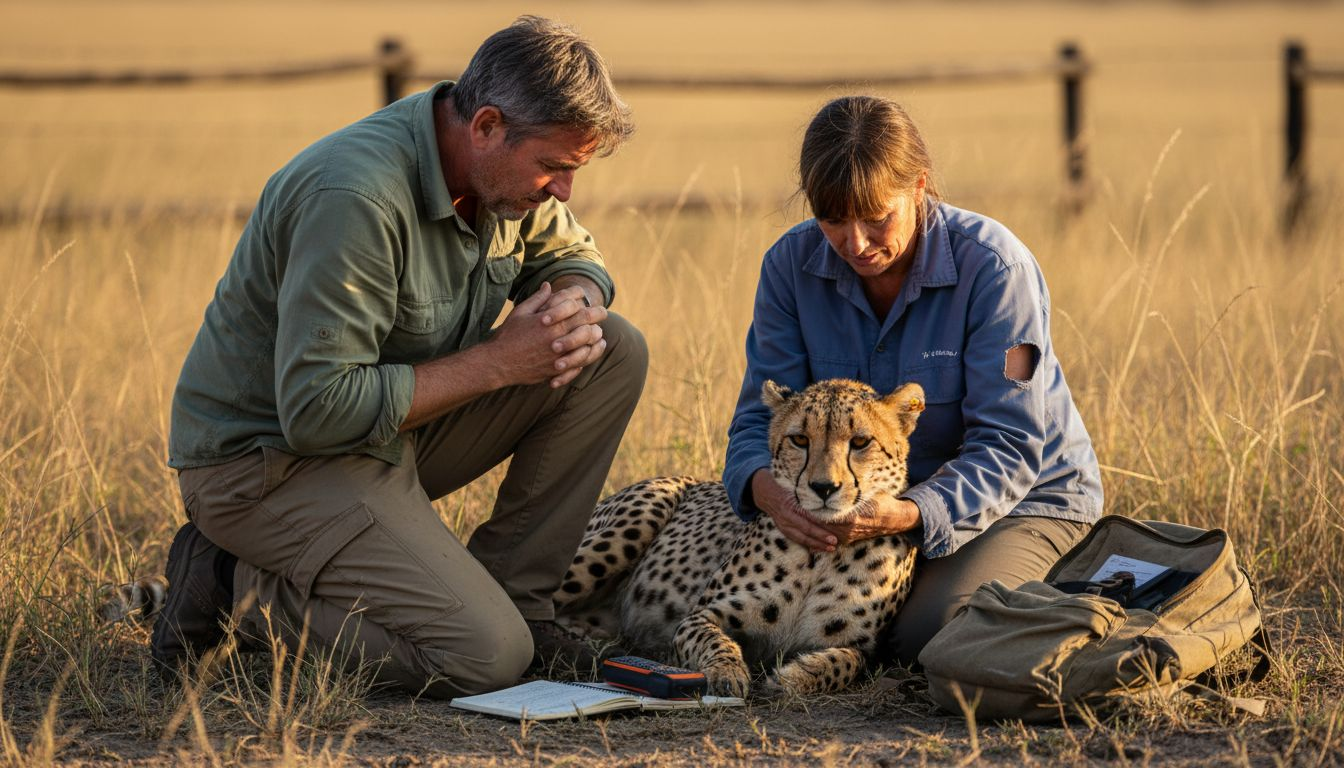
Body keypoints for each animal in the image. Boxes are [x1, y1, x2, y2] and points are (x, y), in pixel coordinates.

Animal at [554, 378, 926, 697]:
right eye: (800, 440)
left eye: (860, 442)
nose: (824, 488)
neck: (821, 554)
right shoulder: (699, 616)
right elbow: (713, 641)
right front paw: (727, 672)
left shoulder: (863, 647)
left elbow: (847, 662)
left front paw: (797, 675)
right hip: (636, 519)